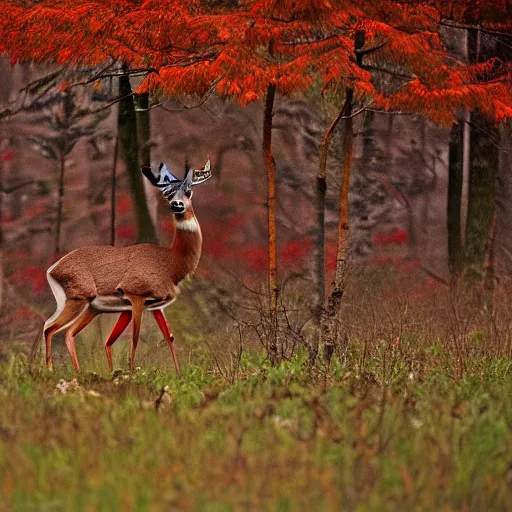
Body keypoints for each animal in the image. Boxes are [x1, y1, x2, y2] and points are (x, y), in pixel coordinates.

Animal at [42, 158, 212, 374]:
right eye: (167, 193)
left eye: (189, 191)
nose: (177, 205)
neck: (172, 264)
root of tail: (51, 270)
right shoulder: (135, 293)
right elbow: (134, 338)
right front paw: (130, 373)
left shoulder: (154, 304)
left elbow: (168, 336)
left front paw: (179, 375)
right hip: (78, 297)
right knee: (50, 327)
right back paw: (50, 370)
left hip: (91, 307)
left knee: (68, 332)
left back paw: (76, 371)